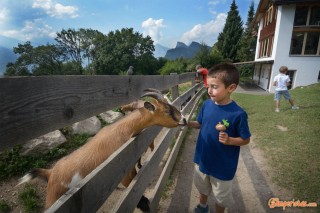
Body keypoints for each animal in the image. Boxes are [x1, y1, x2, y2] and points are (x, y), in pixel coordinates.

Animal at [17, 88, 186, 211]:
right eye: (166, 110)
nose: (184, 119)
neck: (122, 130)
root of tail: (50, 173)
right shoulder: (123, 173)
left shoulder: (130, 168)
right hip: (54, 198)